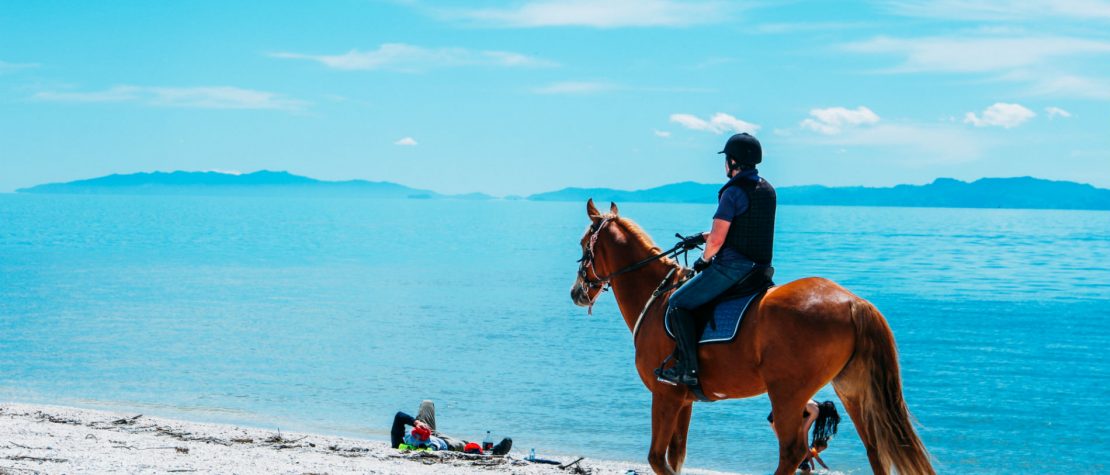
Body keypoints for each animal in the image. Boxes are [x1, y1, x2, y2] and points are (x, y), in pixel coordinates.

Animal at [568, 200, 932, 475]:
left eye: (584, 245)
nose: (577, 292)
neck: (657, 299)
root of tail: (853, 302)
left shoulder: (666, 395)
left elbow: (658, 460)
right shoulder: (684, 401)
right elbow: (676, 457)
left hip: (788, 394)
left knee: (793, 451)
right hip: (852, 389)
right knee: (874, 449)